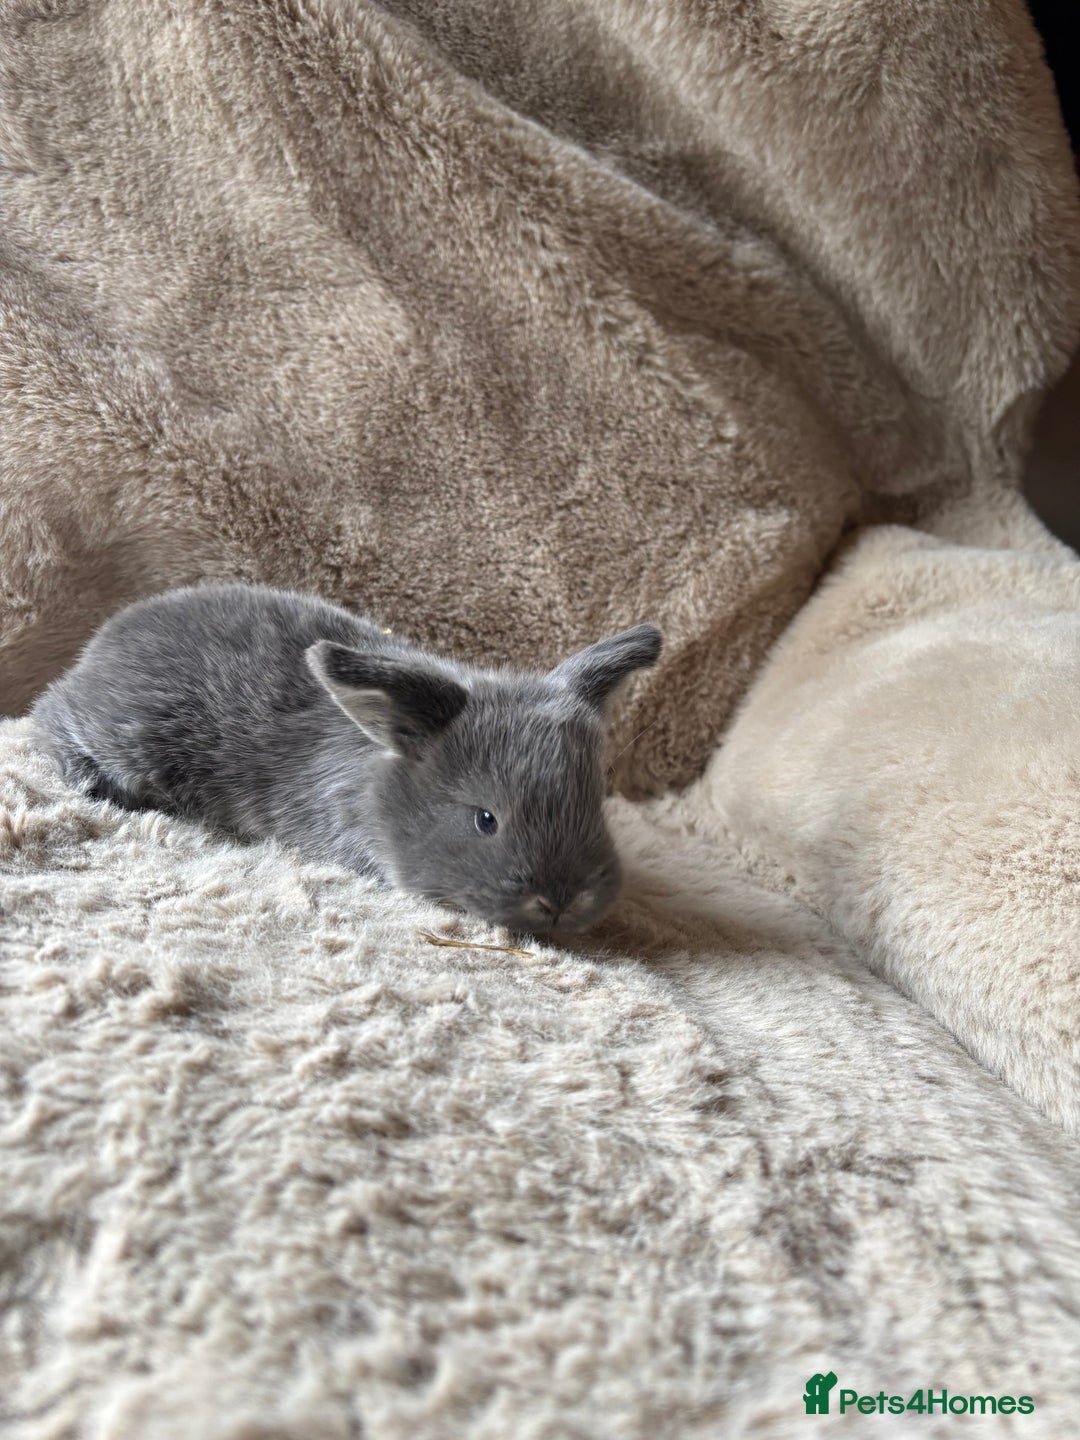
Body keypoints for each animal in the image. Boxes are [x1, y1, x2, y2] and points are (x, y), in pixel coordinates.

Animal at [30, 583, 662, 934]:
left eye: (595, 809)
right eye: (486, 819)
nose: (561, 900)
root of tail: (107, 638)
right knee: (46, 713)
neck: (379, 788)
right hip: (129, 736)